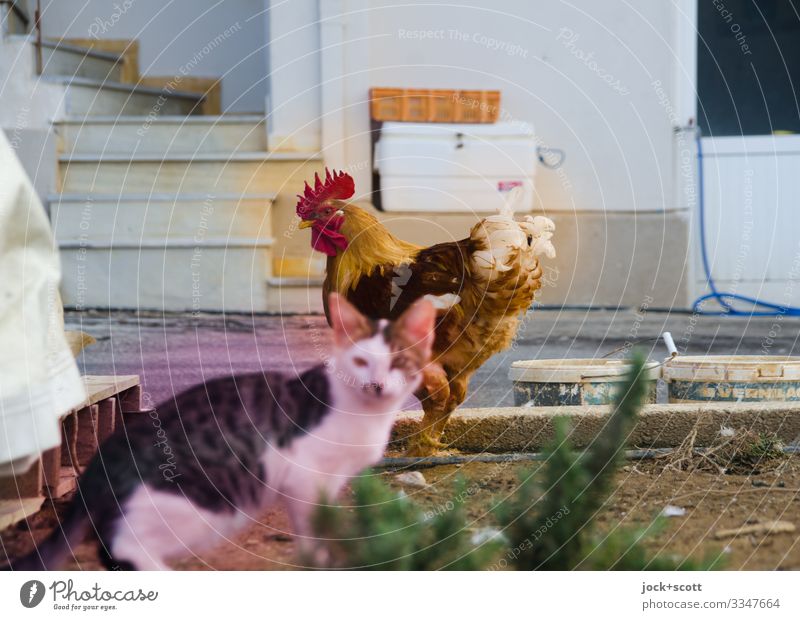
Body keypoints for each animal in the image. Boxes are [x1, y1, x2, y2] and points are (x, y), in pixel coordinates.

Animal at [3, 294, 434, 568]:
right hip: (202, 505)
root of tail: (101, 460)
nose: (376, 385)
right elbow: (311, 527)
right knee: (121, 545)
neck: (364, 414)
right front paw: (319, 560)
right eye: (361, 361)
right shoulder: (304, 475)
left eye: (399, 362)